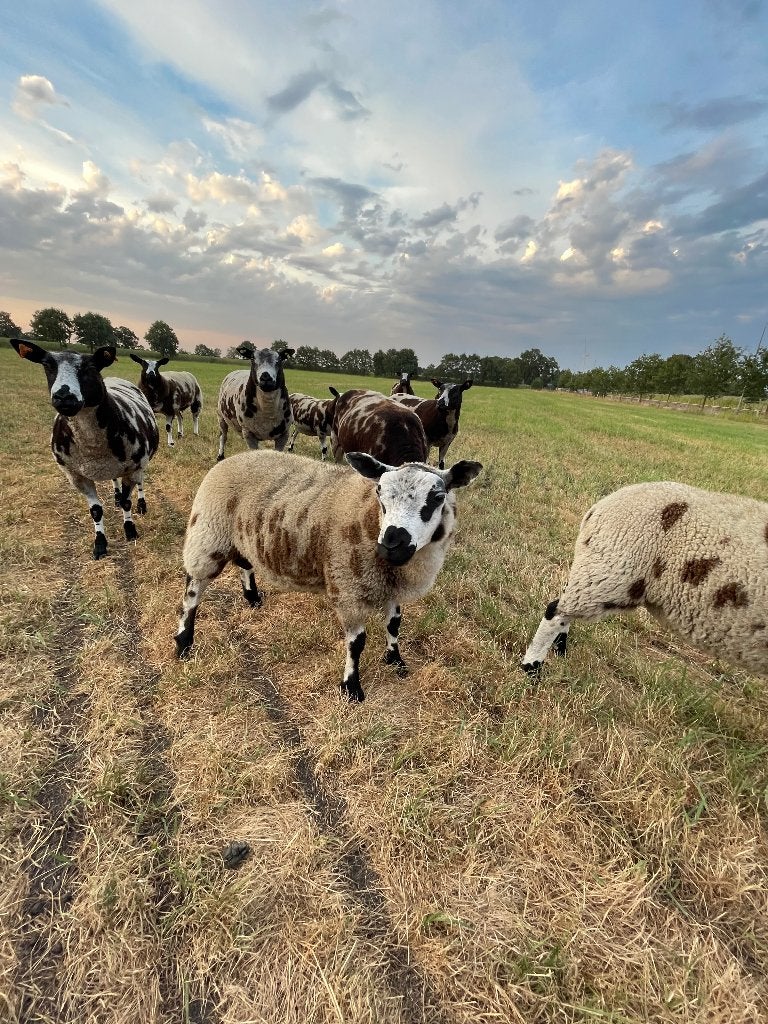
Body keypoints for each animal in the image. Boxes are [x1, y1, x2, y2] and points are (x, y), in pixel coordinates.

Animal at [11, 339, 159, 560]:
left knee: (139, 484)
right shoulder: (76, 476)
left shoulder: (133, 467)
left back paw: (140, 504)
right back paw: (115, 498)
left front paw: (130, 531)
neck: (92, 444)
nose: (64, 397)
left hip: (138, 465)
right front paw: (100, 544)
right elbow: (96, 511)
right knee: (114, 480)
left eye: (89, 367)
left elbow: (127, 502)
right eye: (47, 366)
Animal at [174, 449, 482, 701]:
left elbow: (395, 624)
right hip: (208, 534)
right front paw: (352, 688)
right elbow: (356, 643)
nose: (390, 545)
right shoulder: (348, 590)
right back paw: (184, 642)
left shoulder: (390, 586)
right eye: (379, 492)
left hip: (241, 536)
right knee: (192, 591)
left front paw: (395, 659)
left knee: (245, 564)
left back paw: (252, 598)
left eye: (438, 497)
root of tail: (232, 458)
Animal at [522, 481, 768, 678]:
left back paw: (560, 650)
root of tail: (598, 508)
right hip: (614, 572)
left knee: (565, 604)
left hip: (602, 571)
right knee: (555, 611)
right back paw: (532, 669)